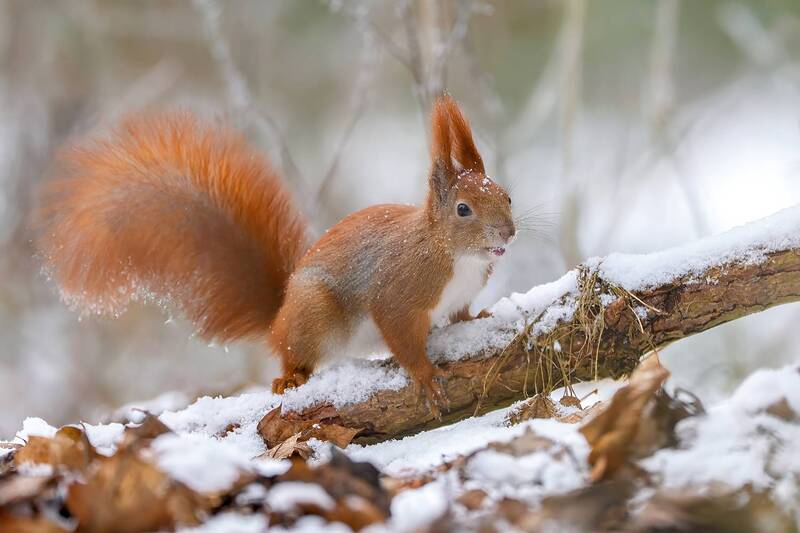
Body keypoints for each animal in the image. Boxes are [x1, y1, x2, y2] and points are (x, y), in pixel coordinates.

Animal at [37, 95, 515, 415]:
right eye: (463, 209)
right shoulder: (399, 291)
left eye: (507, 196)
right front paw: (426, 377)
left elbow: (460, 316)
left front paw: (479, 319)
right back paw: (291, 376)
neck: (454, 255)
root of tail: (279, 315)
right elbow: (401, 335)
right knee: (294, 354)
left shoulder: (459, 295)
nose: (509, 234)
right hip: (316, 315)